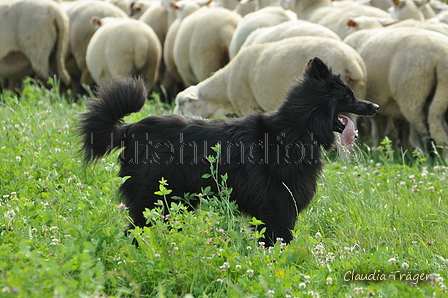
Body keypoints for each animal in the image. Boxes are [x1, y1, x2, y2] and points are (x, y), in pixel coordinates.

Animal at [79, 57, 378, 244]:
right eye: (349, 96)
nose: (375, 107)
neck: (297, 128)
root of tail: (129, 129)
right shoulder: (279, 210)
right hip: (153, 202)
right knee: (134, 232)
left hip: (174, 203)